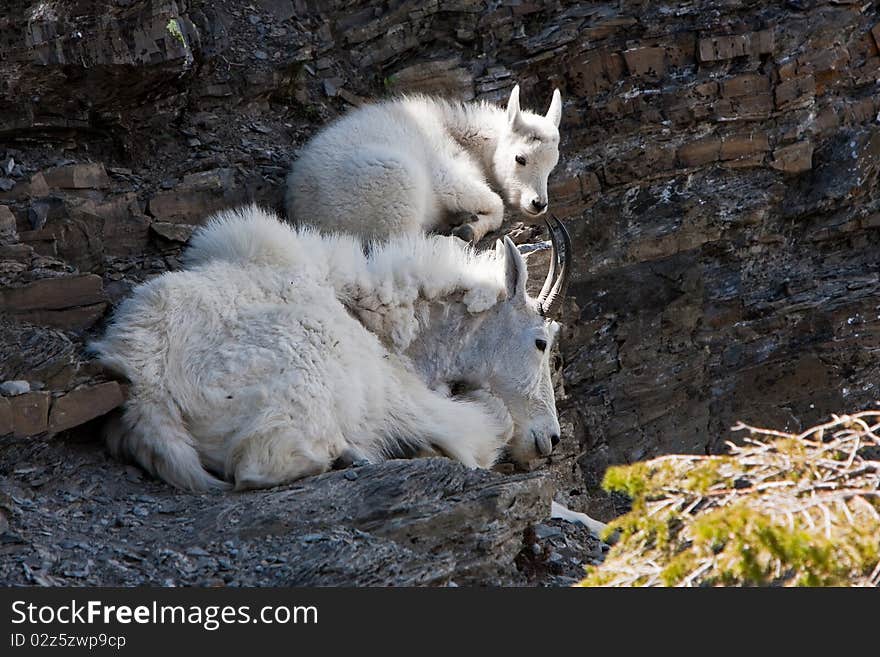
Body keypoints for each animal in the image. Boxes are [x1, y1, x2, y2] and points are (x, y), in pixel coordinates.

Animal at [89, 205, 572, 492]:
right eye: (541, 342)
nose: (549, 439)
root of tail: (146, 388)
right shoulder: (401, 395)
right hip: (298, 393)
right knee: (262, 466)